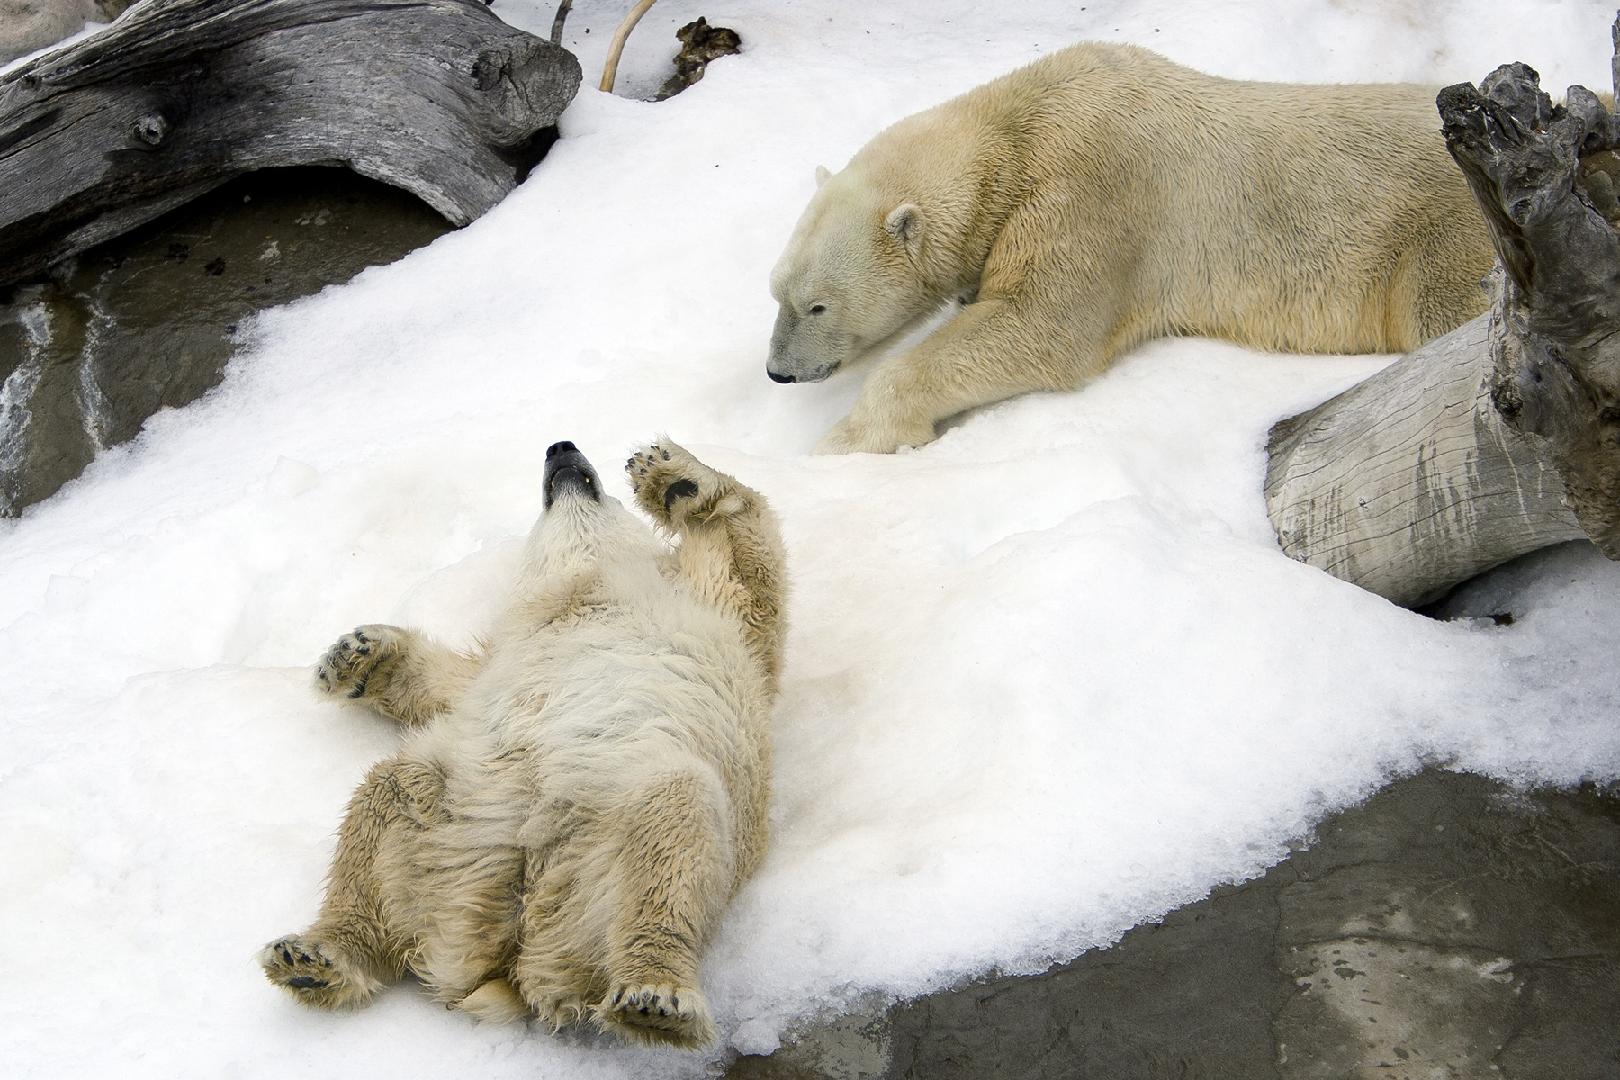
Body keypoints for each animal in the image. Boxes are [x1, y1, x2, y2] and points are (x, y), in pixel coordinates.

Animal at [259, 437, 784, 1049]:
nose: (561, 448)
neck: (585, 581)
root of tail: (513, 945)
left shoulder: (706, 607)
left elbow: (747, 563)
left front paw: (671, 474)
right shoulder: (508, 647)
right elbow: (448, 686)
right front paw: (354, 655)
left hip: (607, 831)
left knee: (673, 820)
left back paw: (657, 996)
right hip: (451, 832)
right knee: (389, 794)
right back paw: (316, 956)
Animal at [767, 41, 1490, 456]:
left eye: (817, 306)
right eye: (777, 293)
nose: (778, 373)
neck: (1017, 126)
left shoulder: (1090, 190)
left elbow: (1044, 325)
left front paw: (843, 442)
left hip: (1444, 233)